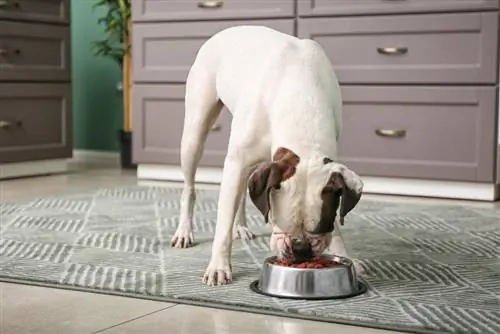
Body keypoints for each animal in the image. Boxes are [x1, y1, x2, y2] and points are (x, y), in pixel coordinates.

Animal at [171, 26, 364, 288]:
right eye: (278, 223)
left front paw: (345, 254)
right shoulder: (237, 163)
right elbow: (222, 226)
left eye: (321, 226)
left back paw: (241, 226)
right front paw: (219, 267)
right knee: (190, 188)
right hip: (194, 134)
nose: (301, 249)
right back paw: (184, 231)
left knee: (243, 191)